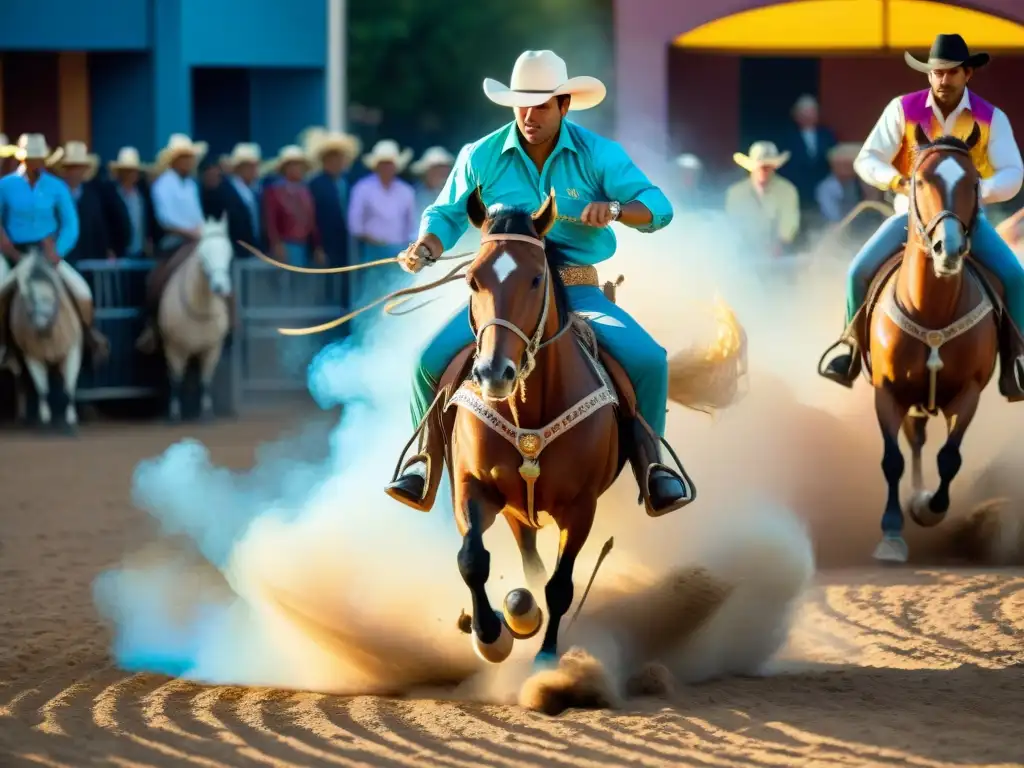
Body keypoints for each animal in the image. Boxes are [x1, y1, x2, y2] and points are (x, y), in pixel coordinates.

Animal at [8, 250, 83, 434]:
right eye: (26, 298)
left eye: (51, 297)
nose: (39, 326)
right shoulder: (31, 356)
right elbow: (42, 389)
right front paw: (45, 419)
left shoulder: (73, 350)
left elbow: (69, 387)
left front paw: (71, 419)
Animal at [156, 214, 233, 423]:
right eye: (203, 254)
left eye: (229, 252)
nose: (220, 286)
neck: (200, 308)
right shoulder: (174, 348)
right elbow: (176, 380)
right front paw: (174, 414)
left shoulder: (212, 348)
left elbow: (206, 380)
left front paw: (207, 414)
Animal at [864, 121, 999, 565]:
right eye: (919, 180)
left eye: (974, 182)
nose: (949, 248)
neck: (932, 311)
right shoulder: (887, 391)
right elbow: (892, 460)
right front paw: (891, 534)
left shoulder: (969, 393)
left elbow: (950, 458)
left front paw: (928, 508)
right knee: (914, 442)